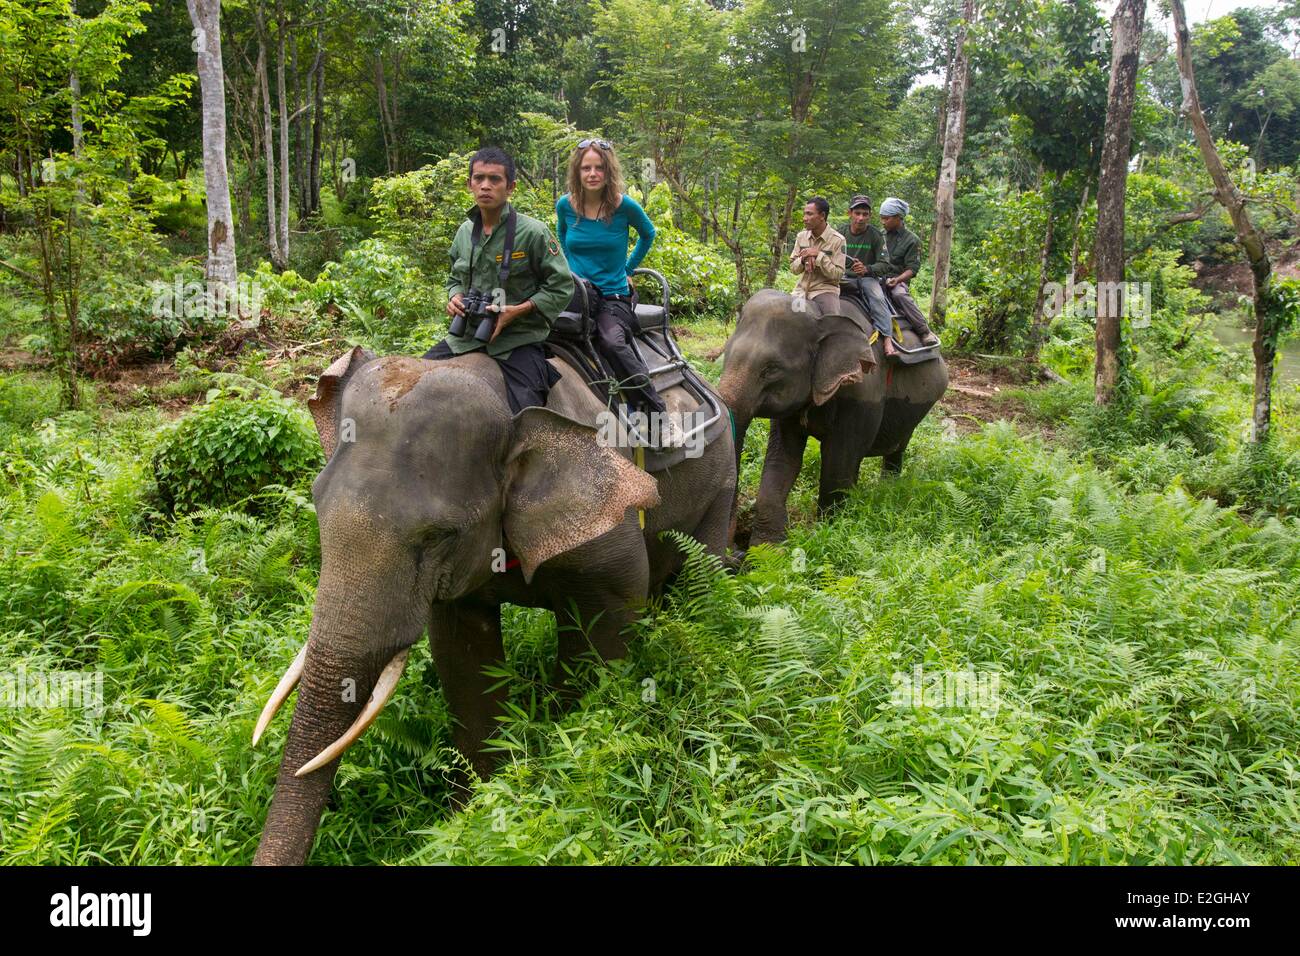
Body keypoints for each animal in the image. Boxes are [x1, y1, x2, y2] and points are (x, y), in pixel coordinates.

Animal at [250, 345, 733, 868]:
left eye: (438, 536)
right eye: (316, 503)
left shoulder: (610, 534)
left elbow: (600, 644)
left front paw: (555, 762)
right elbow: (463, 658)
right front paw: (477, 808)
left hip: (723, 476)